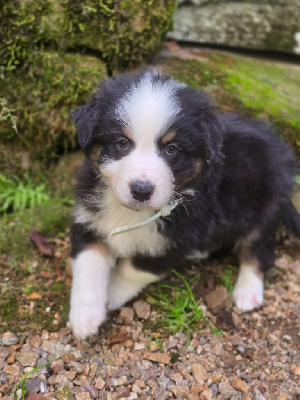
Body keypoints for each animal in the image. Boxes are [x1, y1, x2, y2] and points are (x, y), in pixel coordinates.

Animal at [68, 70, 300, 340]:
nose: (141, 190)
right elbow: (89, 265)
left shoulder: (176, 241)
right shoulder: (89, 218)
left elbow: (134, 268)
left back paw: (247, 291)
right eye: (122, 143)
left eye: (172, 148)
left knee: (258, 251)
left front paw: (111, 296)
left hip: (262, 208)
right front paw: (85, 318)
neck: (134, 214)